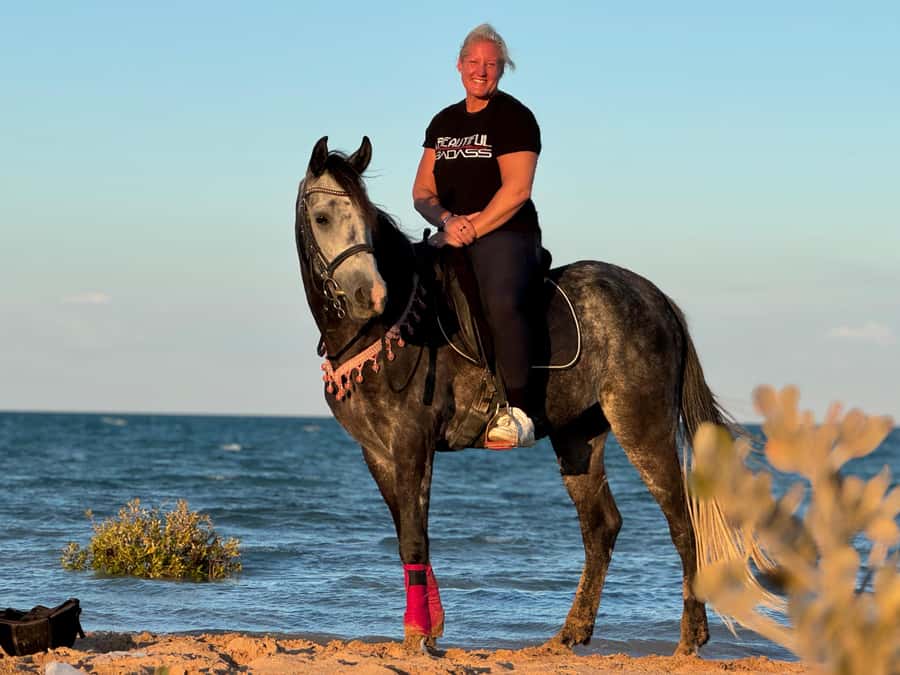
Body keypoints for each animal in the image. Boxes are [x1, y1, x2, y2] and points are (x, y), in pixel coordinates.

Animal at [293, 135, 763, 656]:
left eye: (367, 217)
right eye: (322, 218)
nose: (369, 296)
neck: (388, 324)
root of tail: (657, 299)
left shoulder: (413, 442)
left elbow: (416, 537)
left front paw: (419, 636)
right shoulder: (377, 452)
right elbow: (405, 535)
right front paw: (429, 626)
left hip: (642, 425)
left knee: (681, 520)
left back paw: (689, 638)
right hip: (579, 435)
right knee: (601, 526)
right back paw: (570, 633)